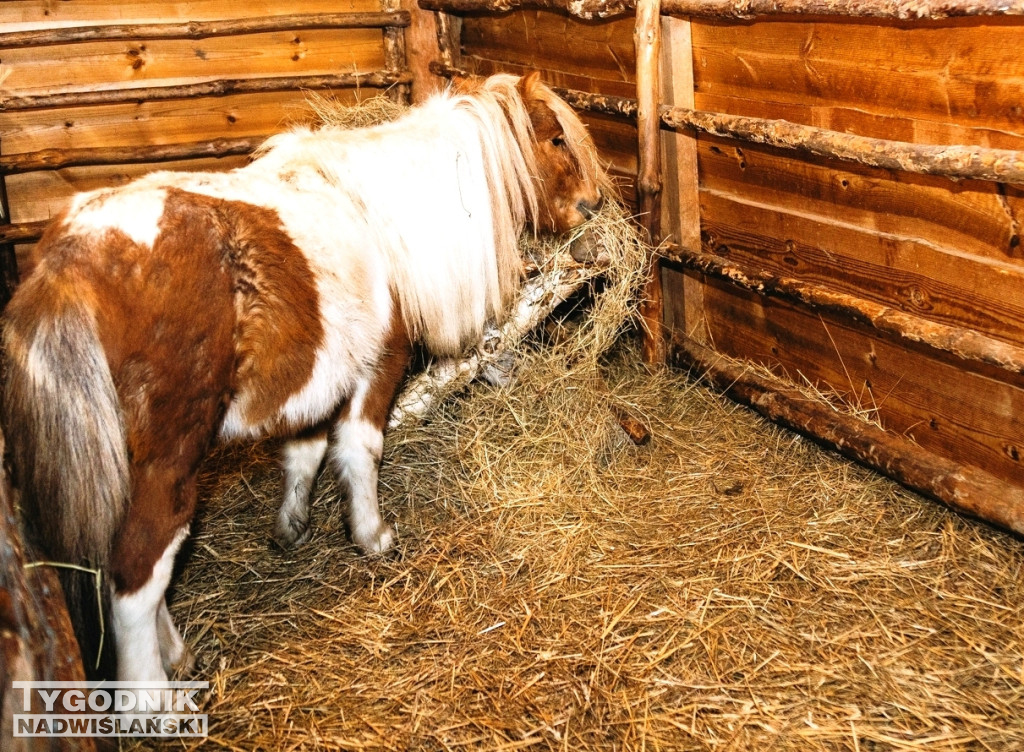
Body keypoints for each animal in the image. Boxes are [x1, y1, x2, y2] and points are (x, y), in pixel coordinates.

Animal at [0, 73, 606, 684]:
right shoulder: (378, 365)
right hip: (165, 465)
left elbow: (303, 452)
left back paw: (177, 654)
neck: (381, 215)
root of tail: (67, 264)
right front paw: (371, 536)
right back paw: (156, 690)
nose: (594, 205)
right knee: (136, 580)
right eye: (557, 139)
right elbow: (360, 449)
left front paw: (292, 527)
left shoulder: (315, 379)